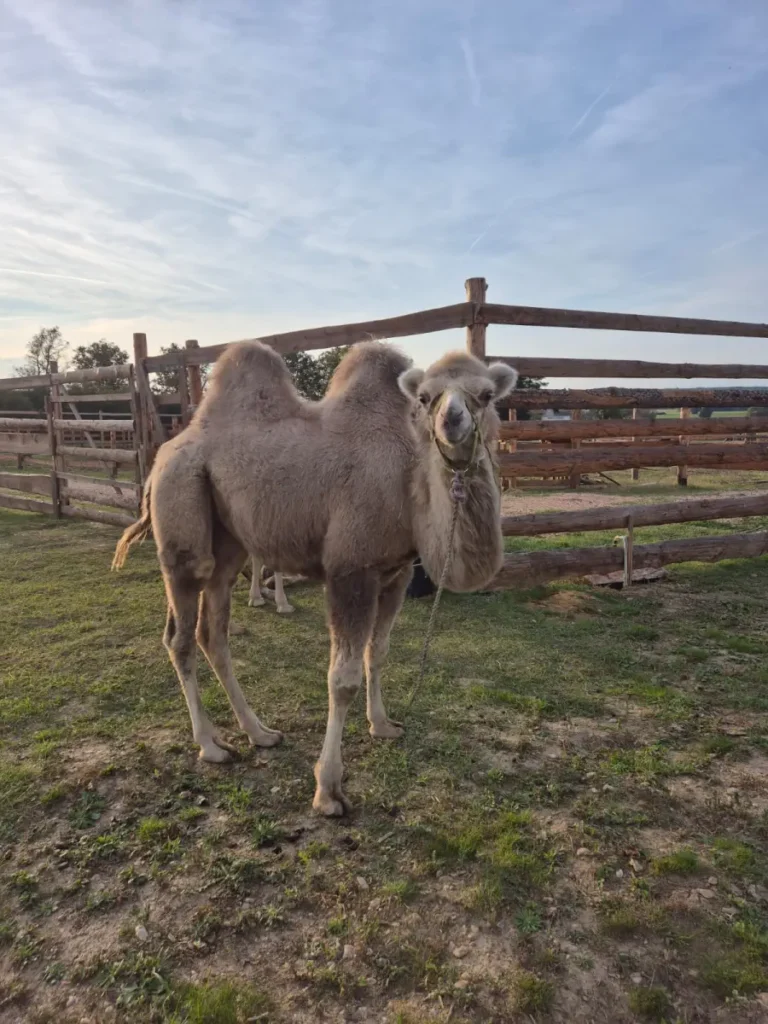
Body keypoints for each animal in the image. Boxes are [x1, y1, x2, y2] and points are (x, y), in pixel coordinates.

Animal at [114, 342, 520, 815]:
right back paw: (211, 747)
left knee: (212, 633)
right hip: (182, 514)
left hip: (229, 544)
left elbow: (378, 653)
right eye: (425, 397)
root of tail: (163, 453)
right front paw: (328, 791)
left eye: (487, 395)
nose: (451, 420)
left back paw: (259, 733)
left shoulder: (396, 573)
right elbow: (342, 679)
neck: (407, 473)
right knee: (179, 635)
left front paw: (383, 725)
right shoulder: (350, 569)